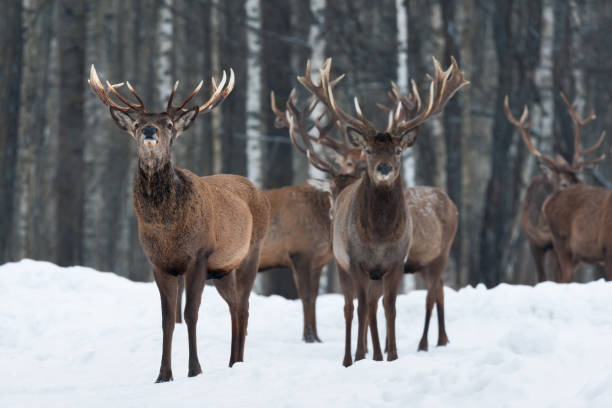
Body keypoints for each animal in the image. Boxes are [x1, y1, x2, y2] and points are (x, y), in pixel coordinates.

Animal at [87, 65, 268, 380]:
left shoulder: (199, 255)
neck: (165, 229)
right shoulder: (159, 263)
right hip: (222, 270)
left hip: (252, 253)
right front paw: (163, 374)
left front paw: (195, 369)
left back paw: (238, 362)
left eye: (169, 124)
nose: (149, 131)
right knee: (234, 306)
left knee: (244, 307)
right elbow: (167, 319)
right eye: (138, 123)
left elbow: (190, 313)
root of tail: (258, 191)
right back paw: (232, 361)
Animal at [284, 55, 466, 364]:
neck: (380, 236)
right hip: (352, 264)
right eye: (368, 150)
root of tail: (450, 201)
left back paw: (428, 342)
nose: (384, 169)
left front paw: (390, 355)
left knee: (431, 293)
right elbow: (362, 308)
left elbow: (388, 307)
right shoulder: (357, 262)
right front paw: (364, 355)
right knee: (356, 306)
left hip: (439, 254)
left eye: (398, 151)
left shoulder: (396, 262)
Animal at [504, 93, 604, 282]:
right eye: (564, 184)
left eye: (579, 182)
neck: (542, 229)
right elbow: (542, 277)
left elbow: (560, 276)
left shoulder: (561, 246)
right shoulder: (534, 242)